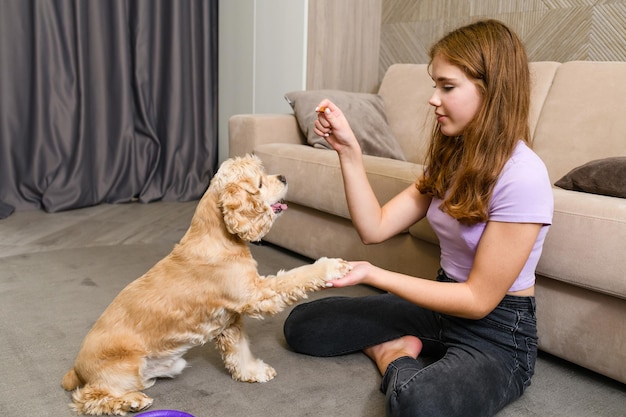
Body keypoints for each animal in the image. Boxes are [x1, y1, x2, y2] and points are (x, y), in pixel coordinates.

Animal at [61, 154, 352, 414]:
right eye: (259, 183)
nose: (283, 177)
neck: (219, 237)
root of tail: (77, 368)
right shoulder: (255, 294)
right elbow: (294, 276)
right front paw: (330, 267)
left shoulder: (229, 319)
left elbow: (240, 351)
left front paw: (253, 372)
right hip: (124, 369)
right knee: (89, 398)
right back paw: (130, 402)